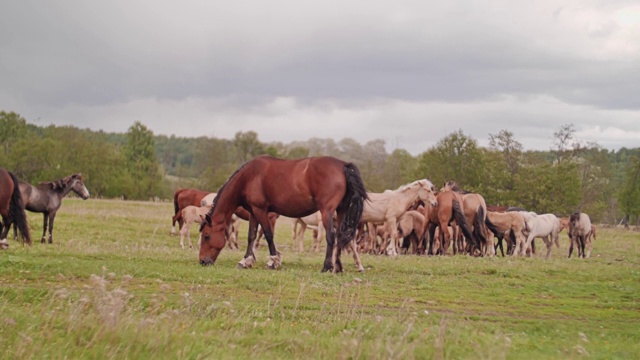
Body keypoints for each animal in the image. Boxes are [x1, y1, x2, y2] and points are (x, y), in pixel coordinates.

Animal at [200, 155, 370, 272]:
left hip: (326, 211)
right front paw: (246, 261)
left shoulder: (261, 211)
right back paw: (338, 267)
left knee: (331, 236)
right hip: (341, 210)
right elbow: (251, 236)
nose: (202, 262)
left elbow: (268, 235)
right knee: (341, 236)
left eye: (207, 235)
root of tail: (343, 165)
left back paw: (327, 266)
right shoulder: (253, 212)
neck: (249, 177)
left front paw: (273, 262)